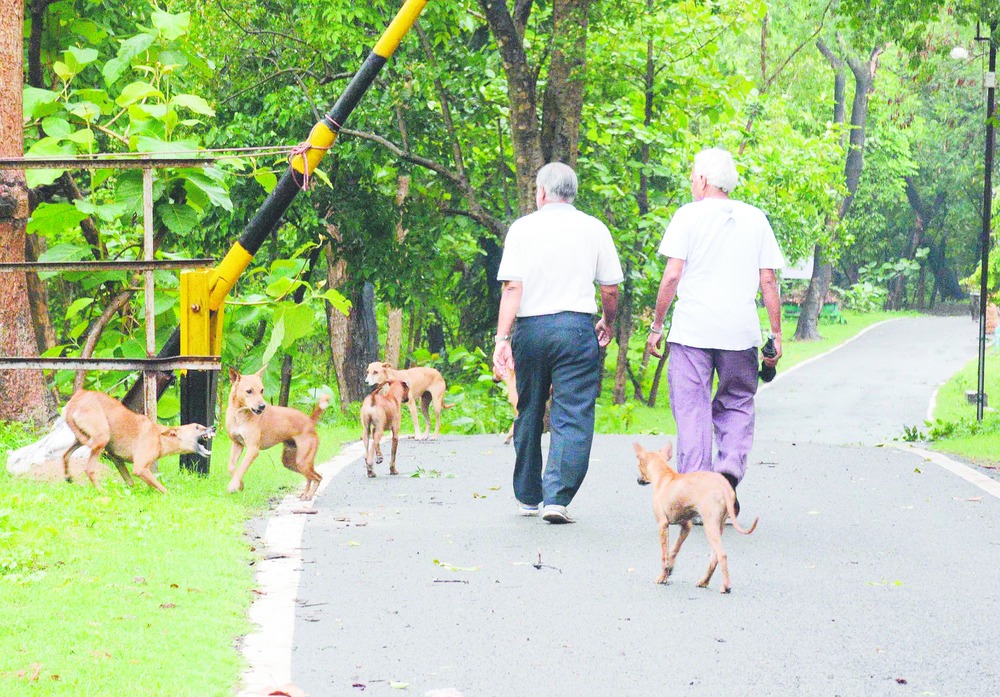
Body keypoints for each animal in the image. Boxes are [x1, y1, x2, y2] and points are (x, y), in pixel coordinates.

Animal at [60, 388, 215, 492]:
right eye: (197, 427)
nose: (213, 427)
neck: (160, 437)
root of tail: (76, 398)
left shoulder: (117, 459)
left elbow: (131, 483)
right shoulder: (140, 468)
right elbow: (160, 487)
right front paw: (169, 495)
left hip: (81, 439)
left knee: (65, 455)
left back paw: (68, 477)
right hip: (101, 438)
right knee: (89, 469)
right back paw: (101, 491)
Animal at [226, 368, 328, 498]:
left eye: (262, 390)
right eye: (249, 391)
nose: (262, 406)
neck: (239, 415)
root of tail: (310, 421)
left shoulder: (253, 449)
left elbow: (242, 468)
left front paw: (233, 485)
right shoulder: (237, 444)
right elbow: (232, 467)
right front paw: (240, 484)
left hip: (303, 461)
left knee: (318, 477)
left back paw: (309, 495)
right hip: (290, 462)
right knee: (310, 476)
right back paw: (305, 493)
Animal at [632, 440, 756, 592]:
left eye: (638, 465)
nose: (638, 480)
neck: (664, 476)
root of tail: (725, 487)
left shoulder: (662, 524)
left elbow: (664, 555)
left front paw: (661, 577)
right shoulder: (686, 526)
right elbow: (673, 550)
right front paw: (669, 570)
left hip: (710, 526)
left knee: (722, 555)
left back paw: (726, 586)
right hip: (718, 526)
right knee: (714, 558)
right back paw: (704, 581)